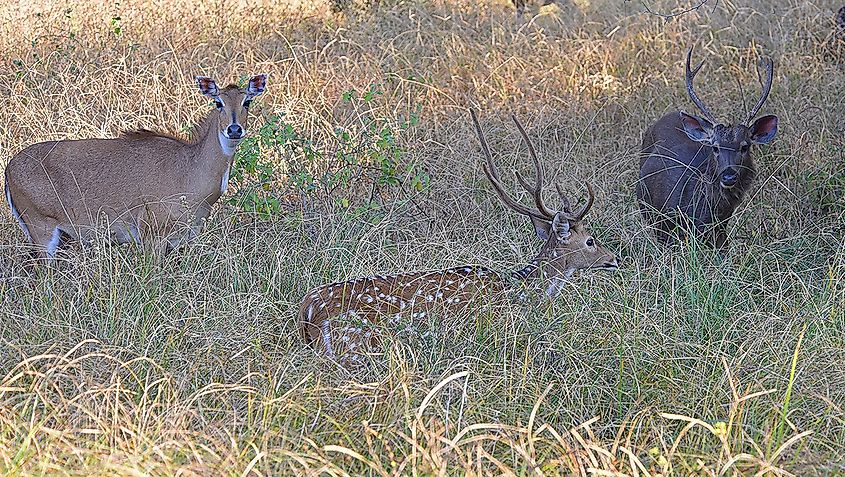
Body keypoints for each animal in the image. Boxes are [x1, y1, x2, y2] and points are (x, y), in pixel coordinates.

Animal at [2, 74, 268, 260]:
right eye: (218, 103)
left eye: (247, 101)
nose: (234, 129)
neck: (190, 169)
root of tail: (8, 169)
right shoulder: (151, 236)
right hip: (42, 230)